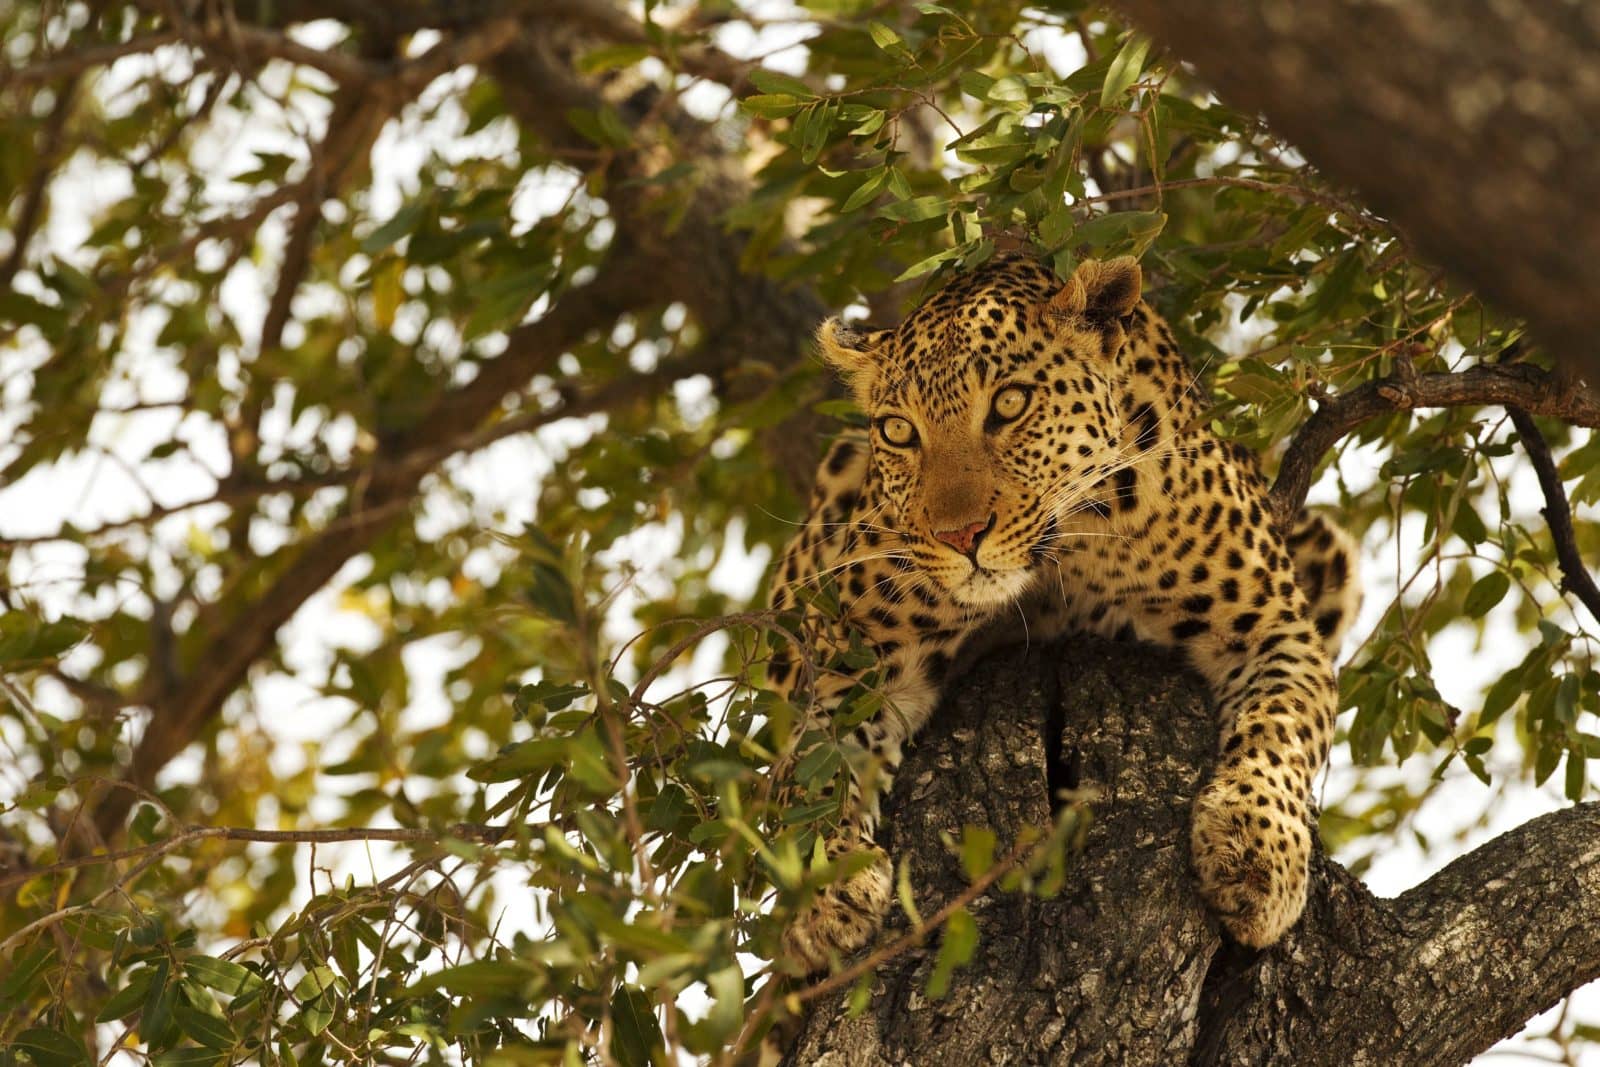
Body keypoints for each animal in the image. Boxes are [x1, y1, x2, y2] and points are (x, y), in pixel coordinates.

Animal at [765, 253, 1359, 973]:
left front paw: (1254, 853)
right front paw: (823, 889)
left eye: (1010, 403)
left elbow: (1281, 730)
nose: (960, 536)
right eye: (899, 431)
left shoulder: (1274, 623)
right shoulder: (853, 659)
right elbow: (812, 773)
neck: (1059, 557)